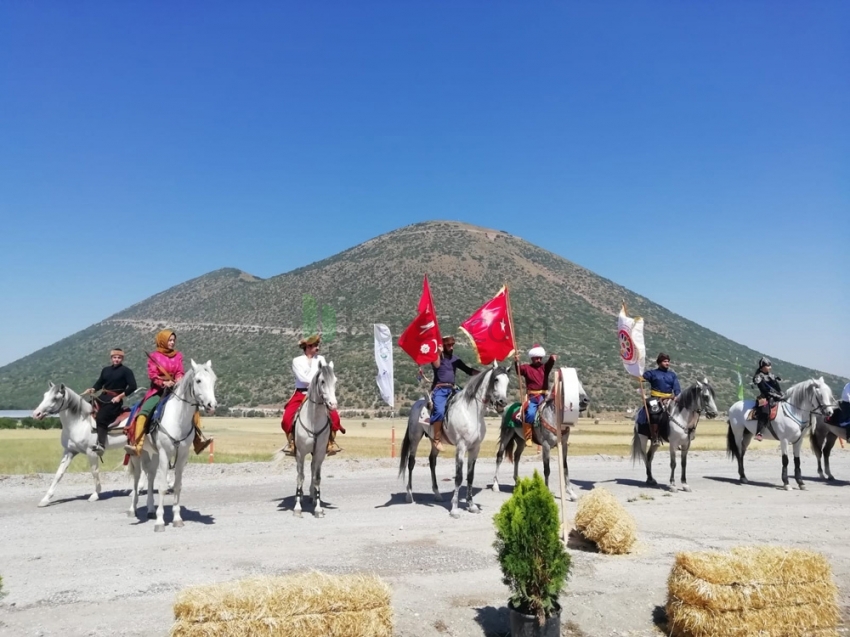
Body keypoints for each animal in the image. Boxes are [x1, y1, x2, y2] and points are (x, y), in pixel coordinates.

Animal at [128, 360, 217, 528]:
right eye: (198, 380)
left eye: (214, 380)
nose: (212, 405)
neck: (178, 418)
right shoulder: (165, 452)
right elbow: (163, 487)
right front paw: (160, 521)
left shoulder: (182, 454)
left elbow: (177, 485)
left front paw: (177, 518)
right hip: (137, 453)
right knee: (136, 478)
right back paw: (132, 509)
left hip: (153, 453)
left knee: (150, 475)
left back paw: (150, 509)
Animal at [396, 362, 506, 516]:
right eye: (496, 379)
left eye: (507, 381)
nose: (502, 403)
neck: (471, 412)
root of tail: (417, 404)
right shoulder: (461, 447)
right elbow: (459, 477)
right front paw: (454, 508)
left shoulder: (475, 448)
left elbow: (470, 476)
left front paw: (471, 505)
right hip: (414, 438)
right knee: (411, 462)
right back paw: (409, 494)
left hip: (434, 441)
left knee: (432, 461)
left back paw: (437, 494)